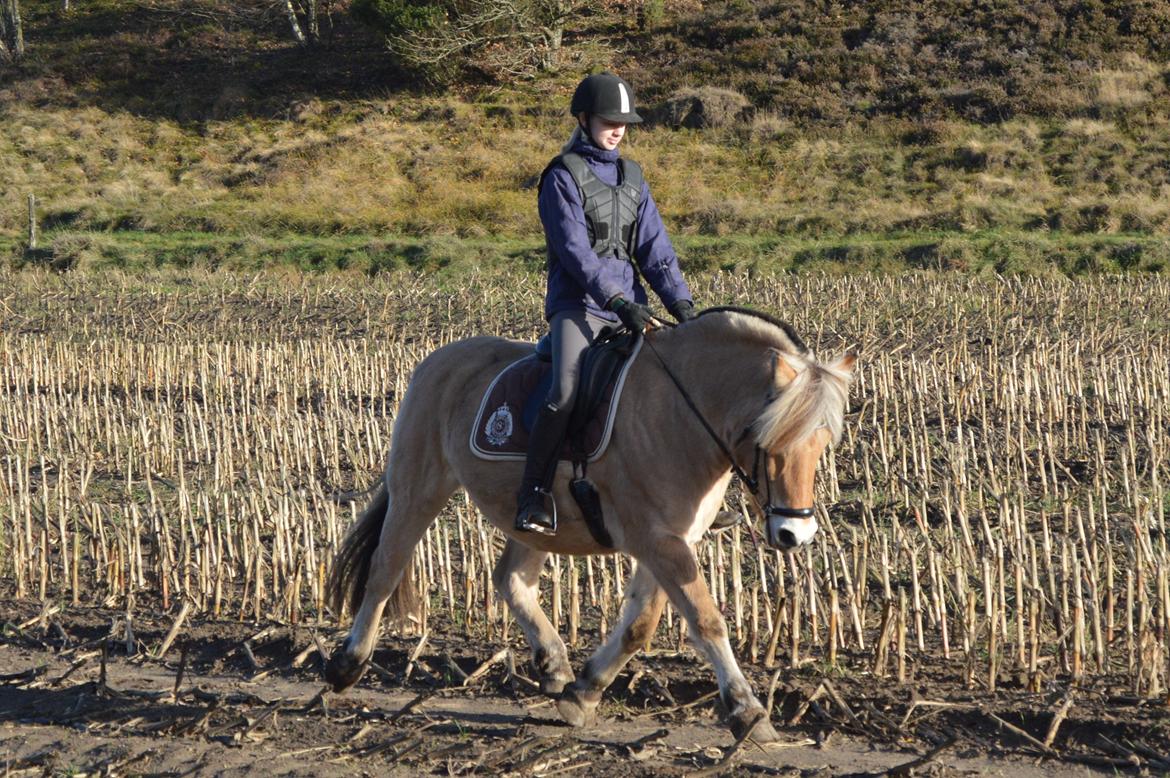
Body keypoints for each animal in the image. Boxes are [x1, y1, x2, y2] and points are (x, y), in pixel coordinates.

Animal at [325, 306, 856, 744]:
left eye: (823, 443)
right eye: (770, 440)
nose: (795, 534)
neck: (679, 413)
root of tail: (438, 361)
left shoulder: (670, 541)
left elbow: (639, 626)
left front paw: (583, 693)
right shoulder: (660, 542)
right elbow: (705, 619)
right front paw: (748, 712)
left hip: (535, 522)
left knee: (510, 578)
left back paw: (554, 664)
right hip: (418, 488)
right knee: (385, 569)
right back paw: (347, 665)